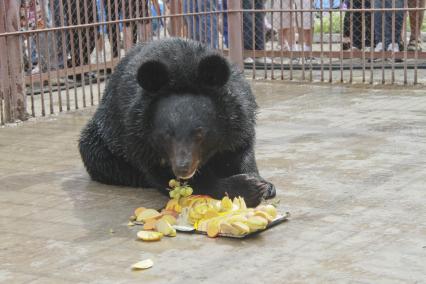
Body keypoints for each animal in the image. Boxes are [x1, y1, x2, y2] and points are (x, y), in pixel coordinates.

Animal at [78, 37, 274, 206]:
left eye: (200, 133)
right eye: (166, 134)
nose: (182, 168)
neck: (182, 70)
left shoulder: (239, 117)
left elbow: (241, 151)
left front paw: (265, 185)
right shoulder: (138, 137)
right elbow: (165, 176)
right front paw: (248, 188)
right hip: (101, 141)